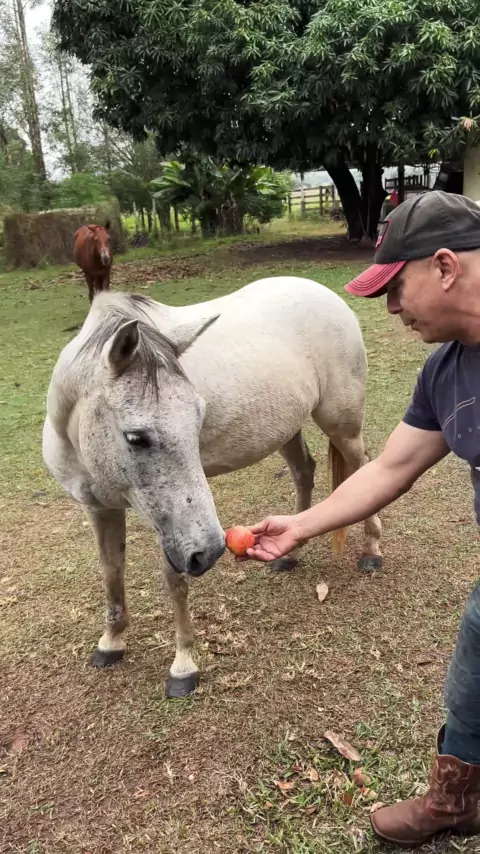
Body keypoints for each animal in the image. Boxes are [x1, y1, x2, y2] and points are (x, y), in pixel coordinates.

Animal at [42, 275, 382, 698]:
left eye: (199, 417)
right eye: (136, 437)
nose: (212, 551)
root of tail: (326, 294)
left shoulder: (173, 527)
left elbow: (174, 581)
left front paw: (183, 666)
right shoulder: (101, 508)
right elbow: (111, 572)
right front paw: (111, 642)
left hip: (342, 424)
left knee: (363, 467)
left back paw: (372, 550)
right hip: (286, 428)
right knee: (304, 471)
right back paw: (289, 554)